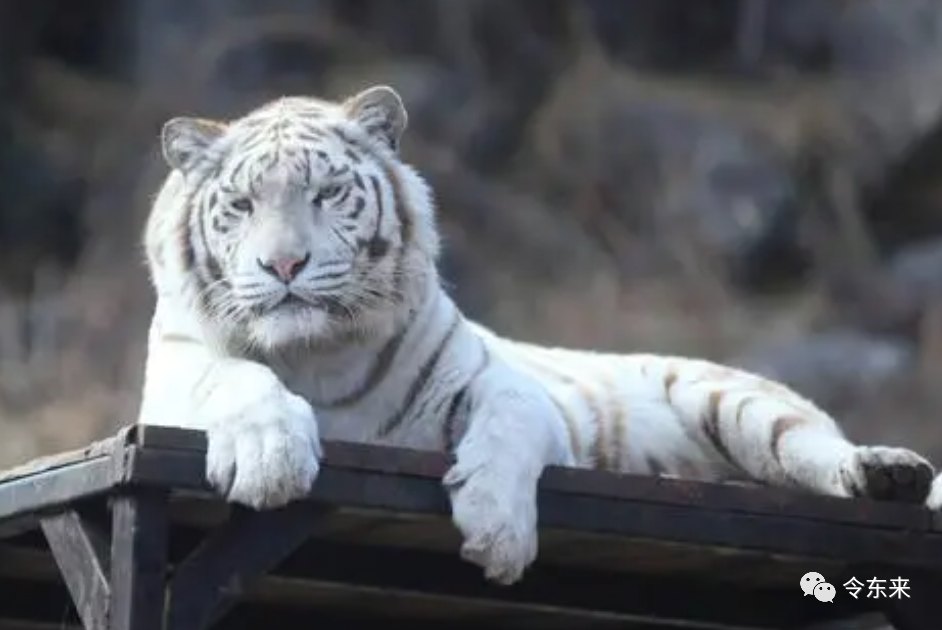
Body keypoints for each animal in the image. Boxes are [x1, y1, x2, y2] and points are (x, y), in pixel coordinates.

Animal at [138, 85, 942, 586]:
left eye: (328, 193)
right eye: (242, 205)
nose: (284, 264)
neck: (320, 353)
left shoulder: (504, 385)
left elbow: (509, 426)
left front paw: (498, 531)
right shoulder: (175, 383)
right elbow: (238, 379)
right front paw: (270, 461)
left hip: (738, 401)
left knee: (815, 447)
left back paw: (888, 472)